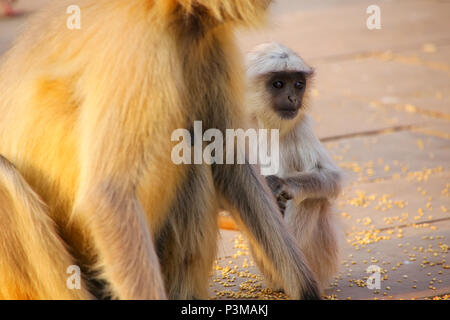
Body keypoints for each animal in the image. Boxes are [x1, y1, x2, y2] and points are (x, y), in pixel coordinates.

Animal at [0, 0, 320, 300]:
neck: (176, 13)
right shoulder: (138, 41)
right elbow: (109, 193)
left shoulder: (206, 41)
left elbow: (228, 160)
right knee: (6, 176)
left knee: (191, 149)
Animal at [244, 42, 342, 292]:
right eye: (278, 84)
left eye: (299, 85)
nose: (292, 97)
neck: (269, 127)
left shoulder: (301, 125)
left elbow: (332, 178)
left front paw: (280, 184)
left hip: (323, 262)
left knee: (311, 199)